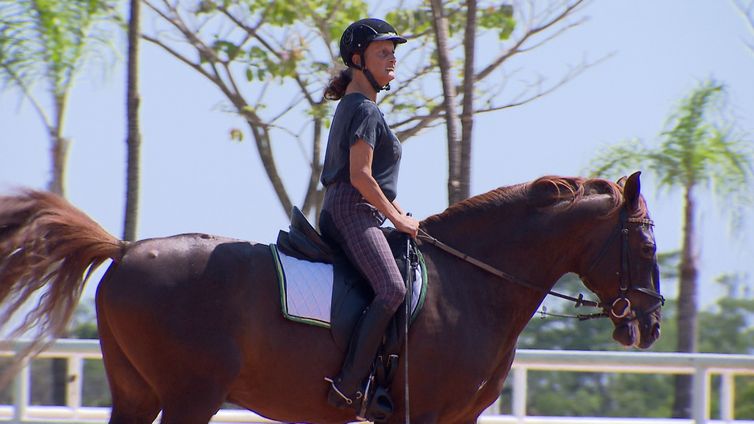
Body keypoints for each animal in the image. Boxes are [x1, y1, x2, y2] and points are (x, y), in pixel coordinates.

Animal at [0, 172, 656, 424]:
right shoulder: (426, 415)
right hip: (192, 395)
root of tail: (126, 248)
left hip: (136, 393)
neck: (472, 286)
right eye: (647, 239)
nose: (648, 325)